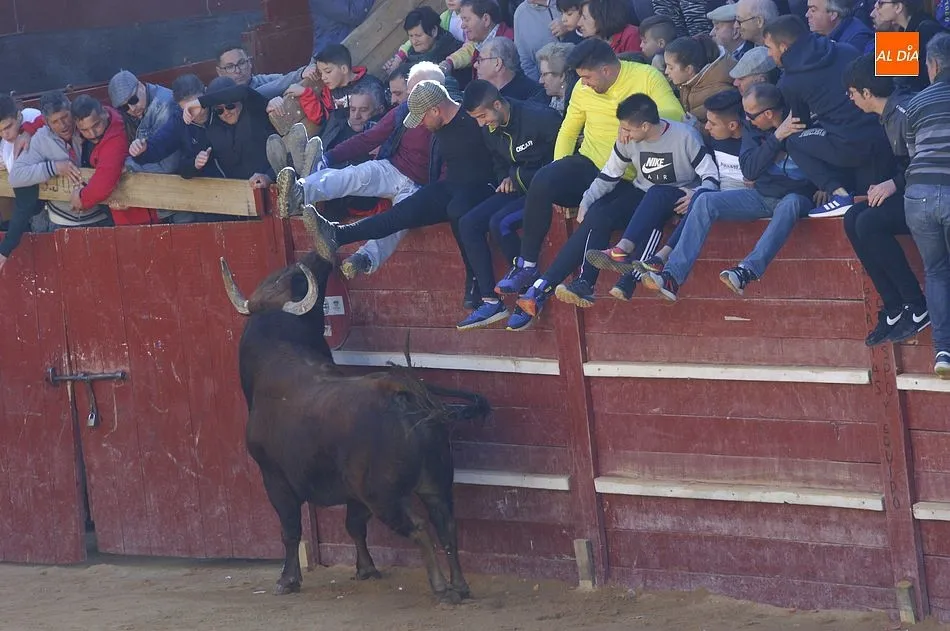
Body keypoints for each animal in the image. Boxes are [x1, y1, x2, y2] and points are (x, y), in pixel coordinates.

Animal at [219, 222, 489, 605]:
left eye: (294, 278)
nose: (317, 256)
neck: (278, 353)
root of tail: (402, 393)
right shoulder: (351, 492)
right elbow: (354, 525)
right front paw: (366, 568)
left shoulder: (274, 477)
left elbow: (290, 530)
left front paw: (287, 580)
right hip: (435, 483)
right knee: (446, 525)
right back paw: (460, 586)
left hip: (384, 495)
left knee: (420, 528)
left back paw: (440, 587)